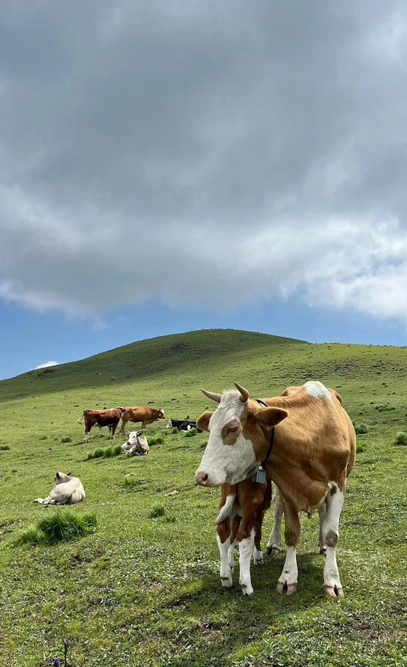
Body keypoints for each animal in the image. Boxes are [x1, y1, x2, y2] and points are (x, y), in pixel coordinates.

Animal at [196, 384, 356, 596]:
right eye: (211, 426)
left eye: (232, 428)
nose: (201, 475)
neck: (311, 436)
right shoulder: (288, 487)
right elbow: (292, 533)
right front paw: (288, 577)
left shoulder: (338, 485)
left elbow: (332, 535)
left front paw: (332, 579)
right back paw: (272, 545)